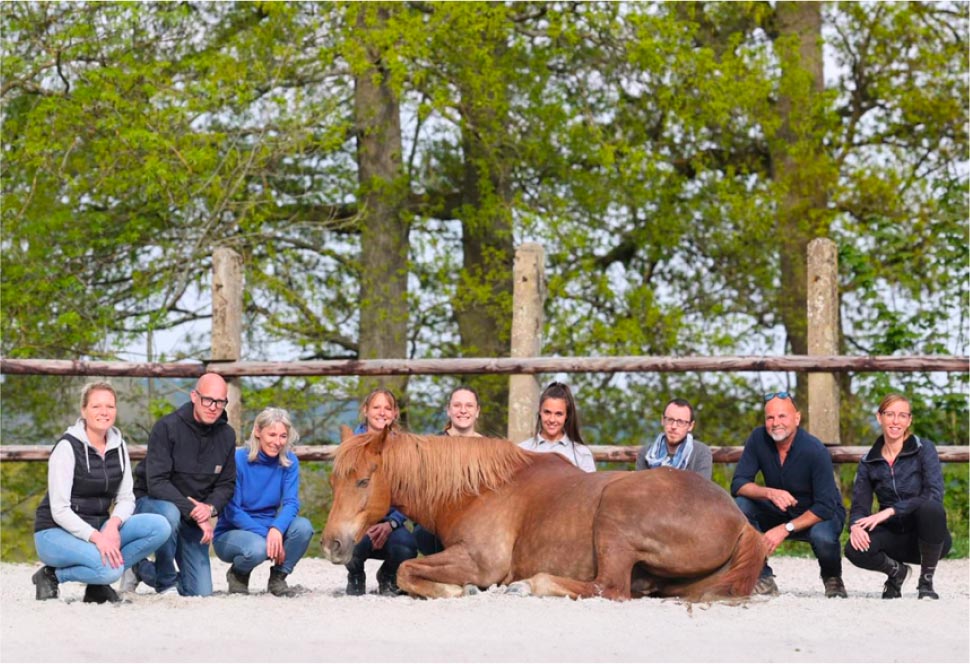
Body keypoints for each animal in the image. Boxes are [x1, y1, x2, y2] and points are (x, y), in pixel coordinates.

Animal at [322, 428, 768, 604]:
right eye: (333, 480)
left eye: (363, 480)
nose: (331, 543)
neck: (479, 490)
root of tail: (739, 521)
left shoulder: (481, 563)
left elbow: (407, 570)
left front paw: (456, 590)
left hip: (615, 515)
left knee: (610, 588)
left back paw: (529, 585)